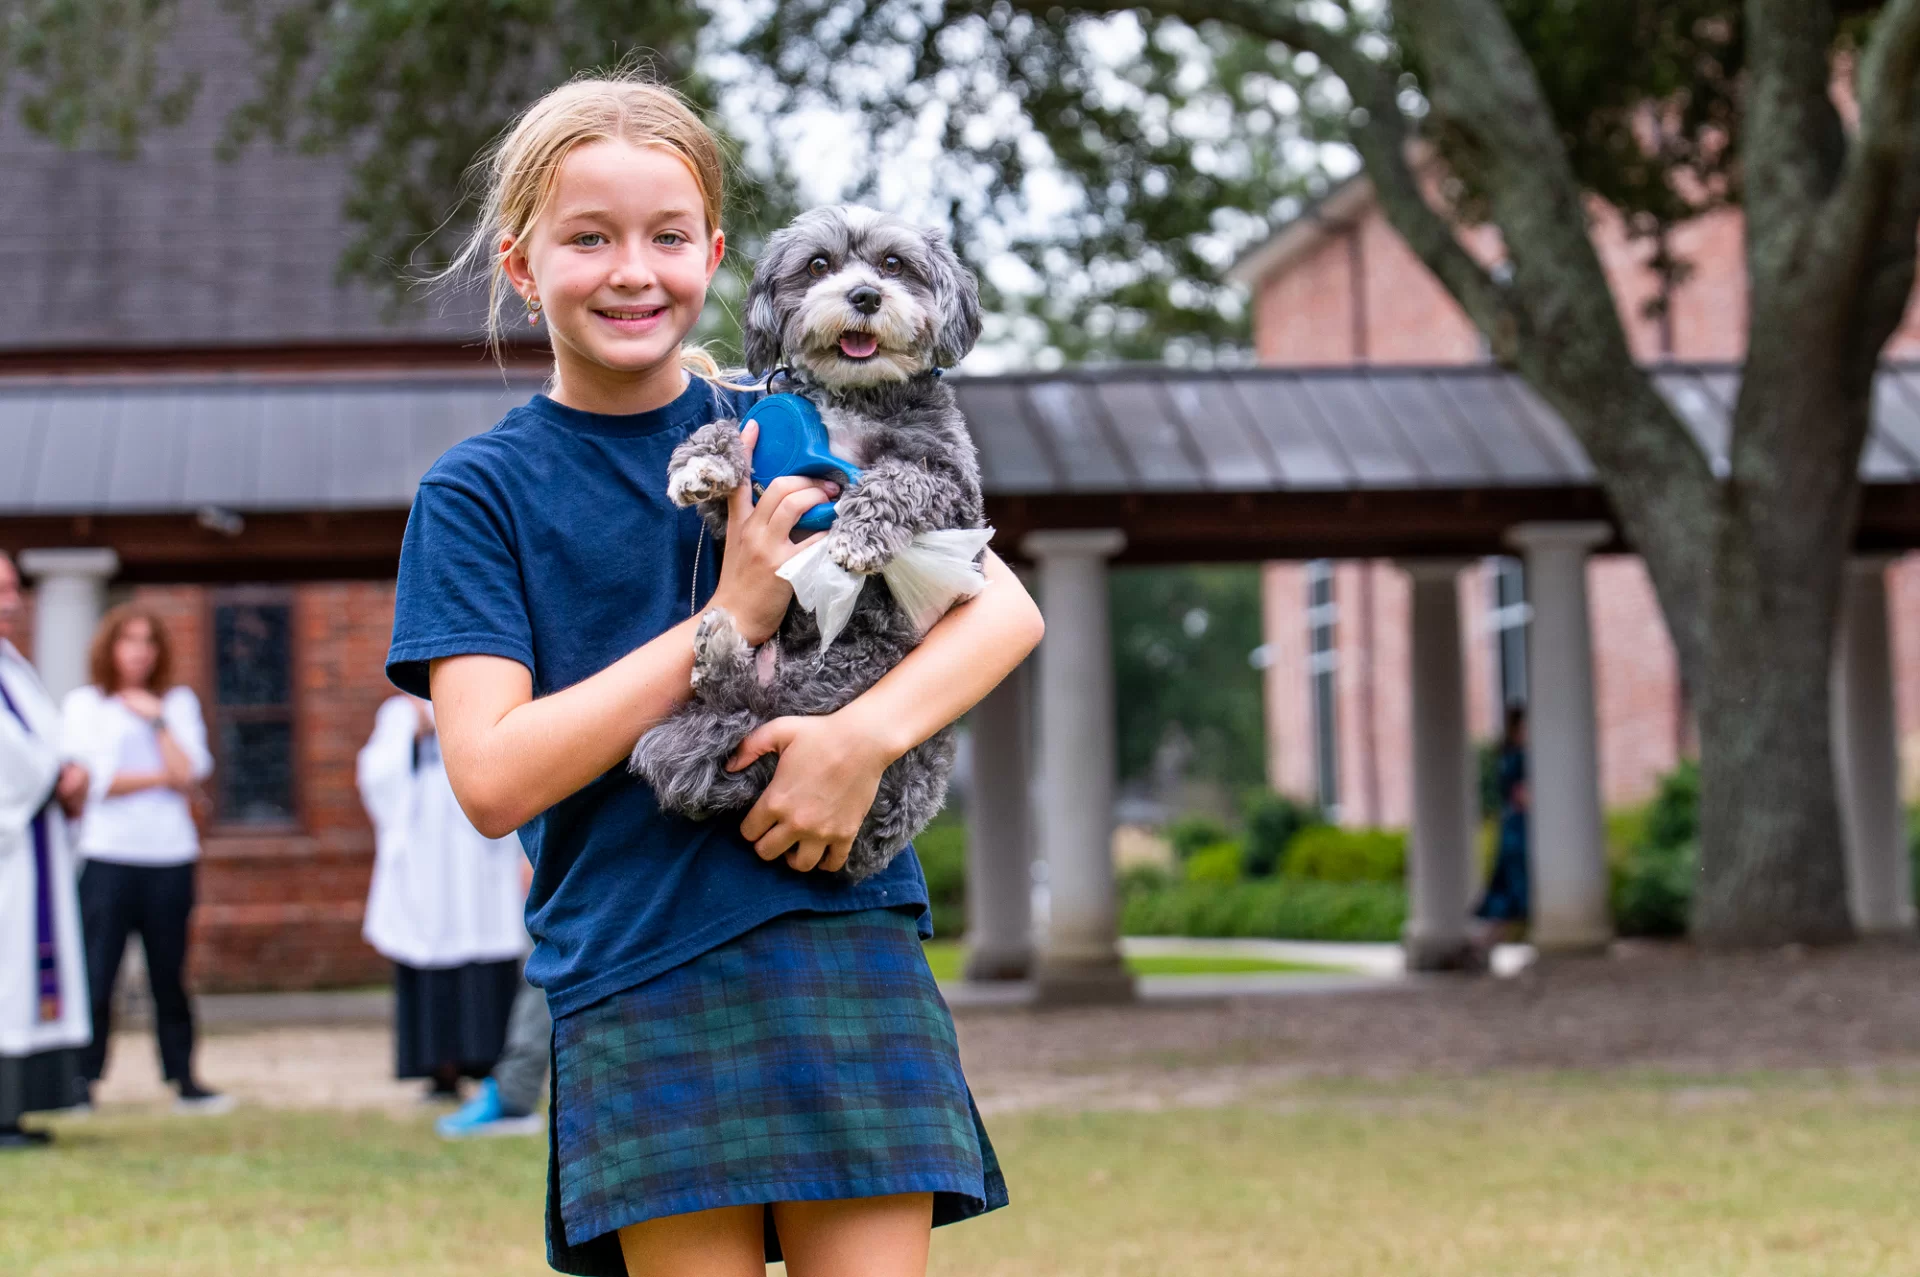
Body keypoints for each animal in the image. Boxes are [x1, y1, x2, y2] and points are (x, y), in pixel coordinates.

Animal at [633, 206, 990, 875]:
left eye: (894, 264)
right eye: (819, 264)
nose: (865, 295)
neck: (853, 397)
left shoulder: (956, 491)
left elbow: (899, 478)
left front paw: (858, 534)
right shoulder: (744, 509)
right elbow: (730, 444)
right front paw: (702, 462)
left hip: (849, 676)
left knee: (755, 706)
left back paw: (720, 651)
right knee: (745, 707)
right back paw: (719, 647)